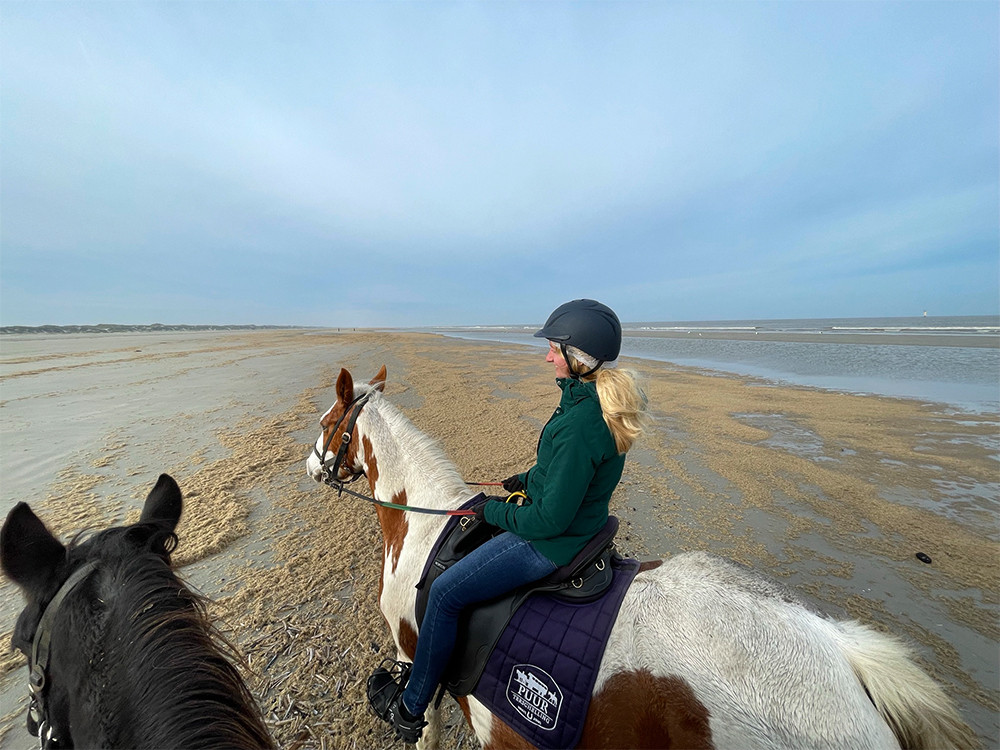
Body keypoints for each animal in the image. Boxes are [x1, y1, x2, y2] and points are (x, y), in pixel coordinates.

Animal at [306, 368, 976, 750]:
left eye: (327, 419)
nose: (312, 464)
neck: (422, 523)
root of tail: (843, 655)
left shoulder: (413, 654)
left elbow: (423, 725)